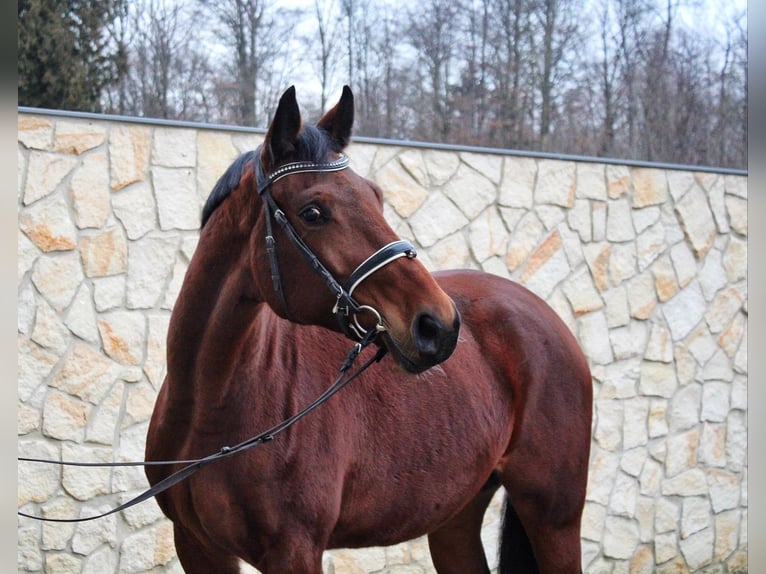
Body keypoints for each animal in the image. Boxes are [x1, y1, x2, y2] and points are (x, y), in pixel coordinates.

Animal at [148, 86, 592, 574]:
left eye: (376, 197)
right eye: (313, 212)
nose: (438, 325)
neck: (210, 408)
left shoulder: (294, 552)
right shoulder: (197, 545)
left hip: (554, 518)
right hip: (456, 519)